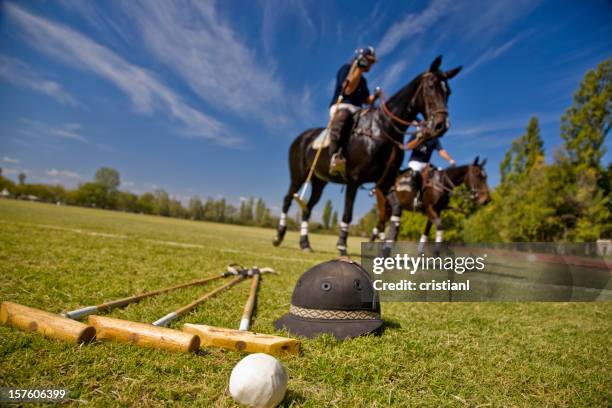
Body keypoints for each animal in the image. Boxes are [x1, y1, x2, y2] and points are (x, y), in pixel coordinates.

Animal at [274, 55, 462, 255]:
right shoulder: (354, 180)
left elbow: (396, 212)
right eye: (431, 86)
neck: (384, 129)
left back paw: (305, 243)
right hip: (299, 174)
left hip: (319, 181)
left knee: (308, 208)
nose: (442, 125)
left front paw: (387, 248)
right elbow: (347, 214)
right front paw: (342, 246)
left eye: (449, 92)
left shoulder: (384, 183)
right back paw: (279, 236)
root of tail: (301, 137)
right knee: (288, 199)